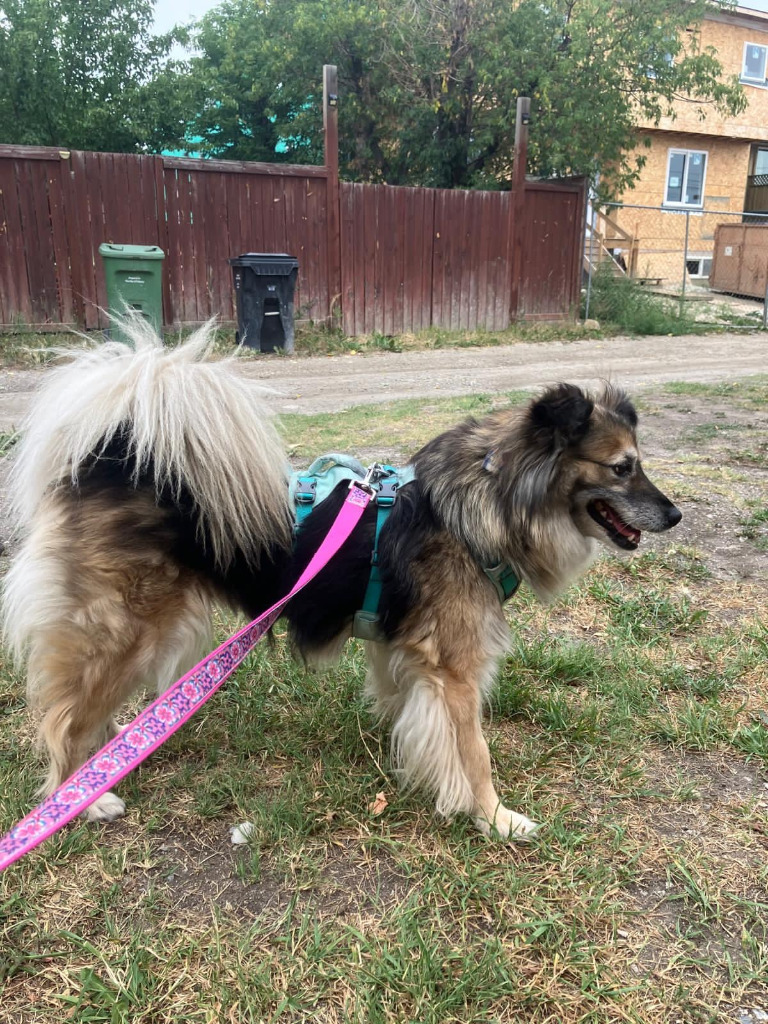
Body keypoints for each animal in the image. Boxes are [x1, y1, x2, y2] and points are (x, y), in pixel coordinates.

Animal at [3, 321, 684, 839]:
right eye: (622, 468)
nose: (675, 515)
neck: (484, 504)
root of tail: (108, 462)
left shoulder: (403, 649)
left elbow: (411, 711)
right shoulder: (457, 669)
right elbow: (475, 752)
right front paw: (494, 817)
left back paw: (115, 750)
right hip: (122, 630)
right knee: (62, 719)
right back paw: (86, 796)